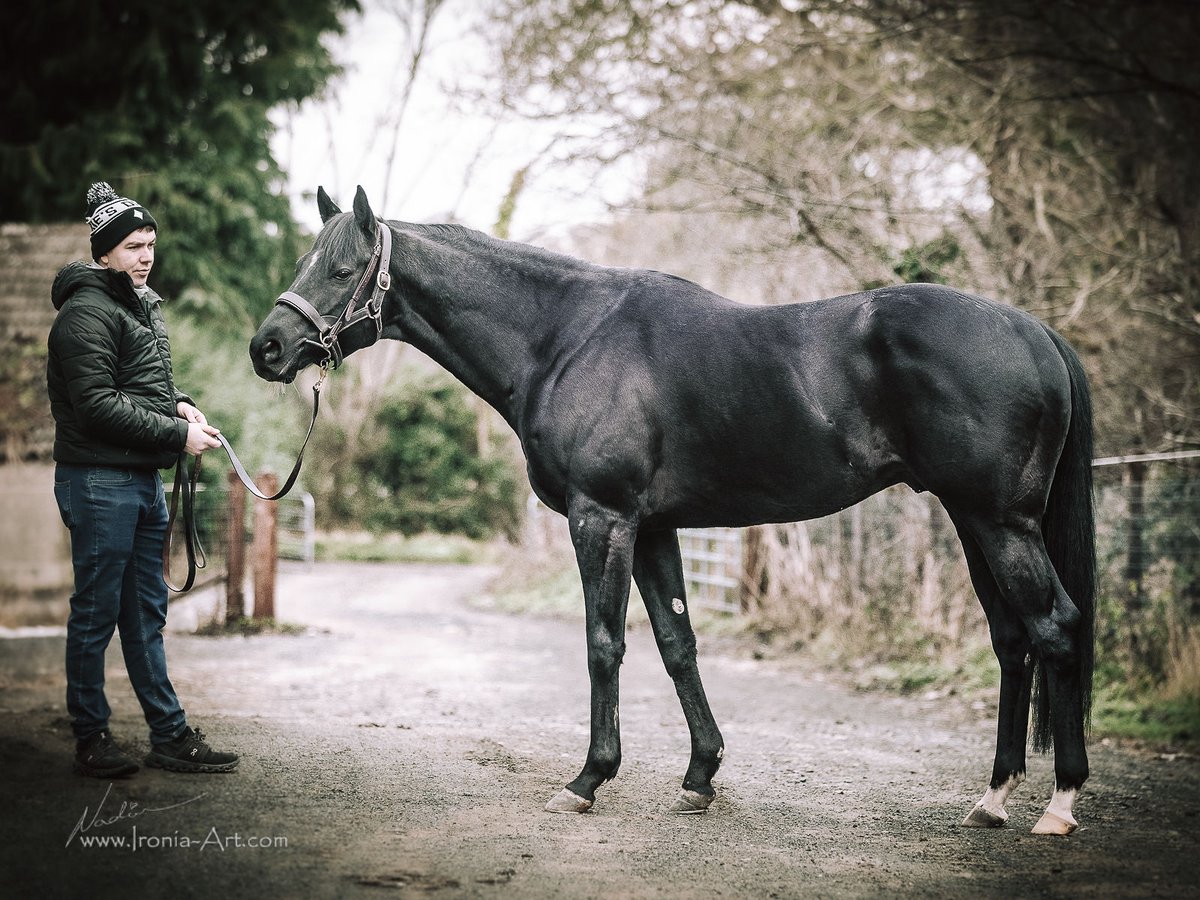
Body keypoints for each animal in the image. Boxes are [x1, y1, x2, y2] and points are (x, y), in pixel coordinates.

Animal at [250, 186, 1095, 836]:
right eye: (300, 261)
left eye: (343, 267)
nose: (267, 348)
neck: (564, 336)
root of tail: (1036, 332)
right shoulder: (655, 527)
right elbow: (676, 642)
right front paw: (700, 775)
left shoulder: (603, 518)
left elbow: (604, 644)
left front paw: (588, 780)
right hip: (972, 521)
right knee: (1012, 639)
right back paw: (992, 798)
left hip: (999, 523)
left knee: (1055, 628)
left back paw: (1059, 805)